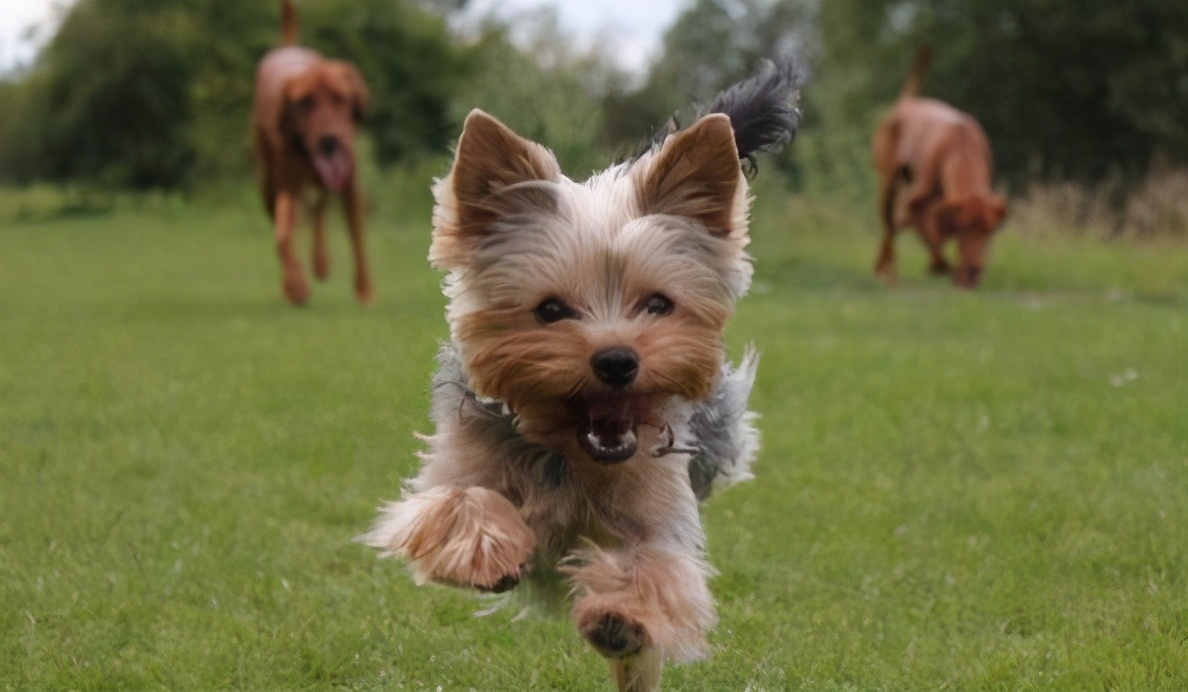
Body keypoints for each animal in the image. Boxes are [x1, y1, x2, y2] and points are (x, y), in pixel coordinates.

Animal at [253, 0, 373, 304]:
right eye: (305, 102)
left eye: (340, 98)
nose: (330, 141)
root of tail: (289, 48)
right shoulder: (286, 188)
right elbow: (282, 236)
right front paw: (296, 287)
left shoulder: (349, 182)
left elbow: (356, 234)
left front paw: (364, 291)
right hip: (268, 181)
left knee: (321, 206)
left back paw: (321, 263)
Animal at [363, 62, 798, 689]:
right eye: (549, 310)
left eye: (658, 304)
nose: (617, 360)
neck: (571, 451)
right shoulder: (451, 468)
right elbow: (459, 502)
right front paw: (490, 550)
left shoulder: (660, 514)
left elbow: (656, 570)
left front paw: (619, 615)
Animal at [874, 46, 1002, 290]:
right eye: (965, 228)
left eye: (989, 231)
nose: (975, 269)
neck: (961, 146)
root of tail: (906, 104)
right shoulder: (917, 202)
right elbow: (933, 241)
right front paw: (942, 267)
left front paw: (958, 275)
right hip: (887, 187)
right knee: (889, 227)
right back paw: (886, 271)